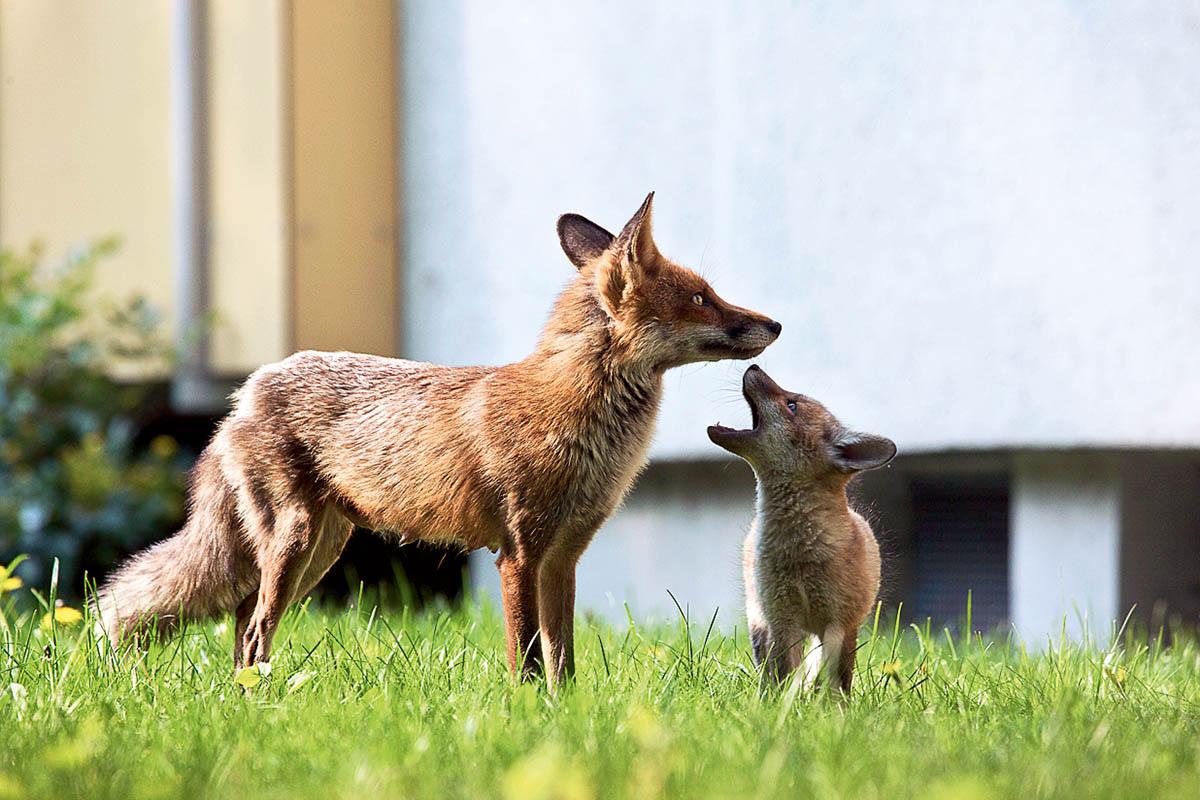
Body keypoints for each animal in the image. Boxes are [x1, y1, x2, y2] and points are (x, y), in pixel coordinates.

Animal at [98, 194, 782, 690]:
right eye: (700, 298)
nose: (775, 323)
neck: (581, 419)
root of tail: (246, 391)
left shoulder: (564, 556)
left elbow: (563, 659)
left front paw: (568, 716)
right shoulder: (518, 554)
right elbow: (527, 657)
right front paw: (527, 715)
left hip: (317, 552)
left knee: (242, 626)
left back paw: (245, 695)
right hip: (294, 542)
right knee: (253, 628)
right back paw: (257, 701)